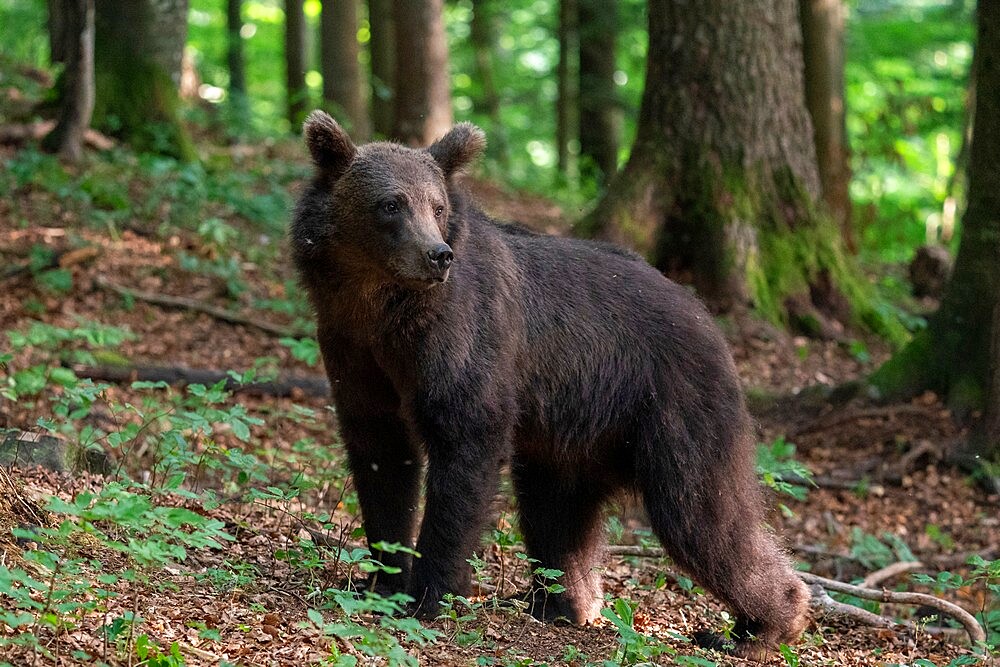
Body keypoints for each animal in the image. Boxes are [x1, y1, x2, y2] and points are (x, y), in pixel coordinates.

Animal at [292, 109, 812, 656]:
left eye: (437, 205)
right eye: (391, 203)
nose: (437, 254)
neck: (381, 309)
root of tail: (706, 316)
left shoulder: (460, 342)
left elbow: (465, 446)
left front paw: (429, 593)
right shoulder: (355, 353)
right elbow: (382, 458)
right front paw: (380, 581)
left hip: (673, 403)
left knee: (700, 511)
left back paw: (764, 625)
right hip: (574, 432)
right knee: (557, 514)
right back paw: (562, 604)